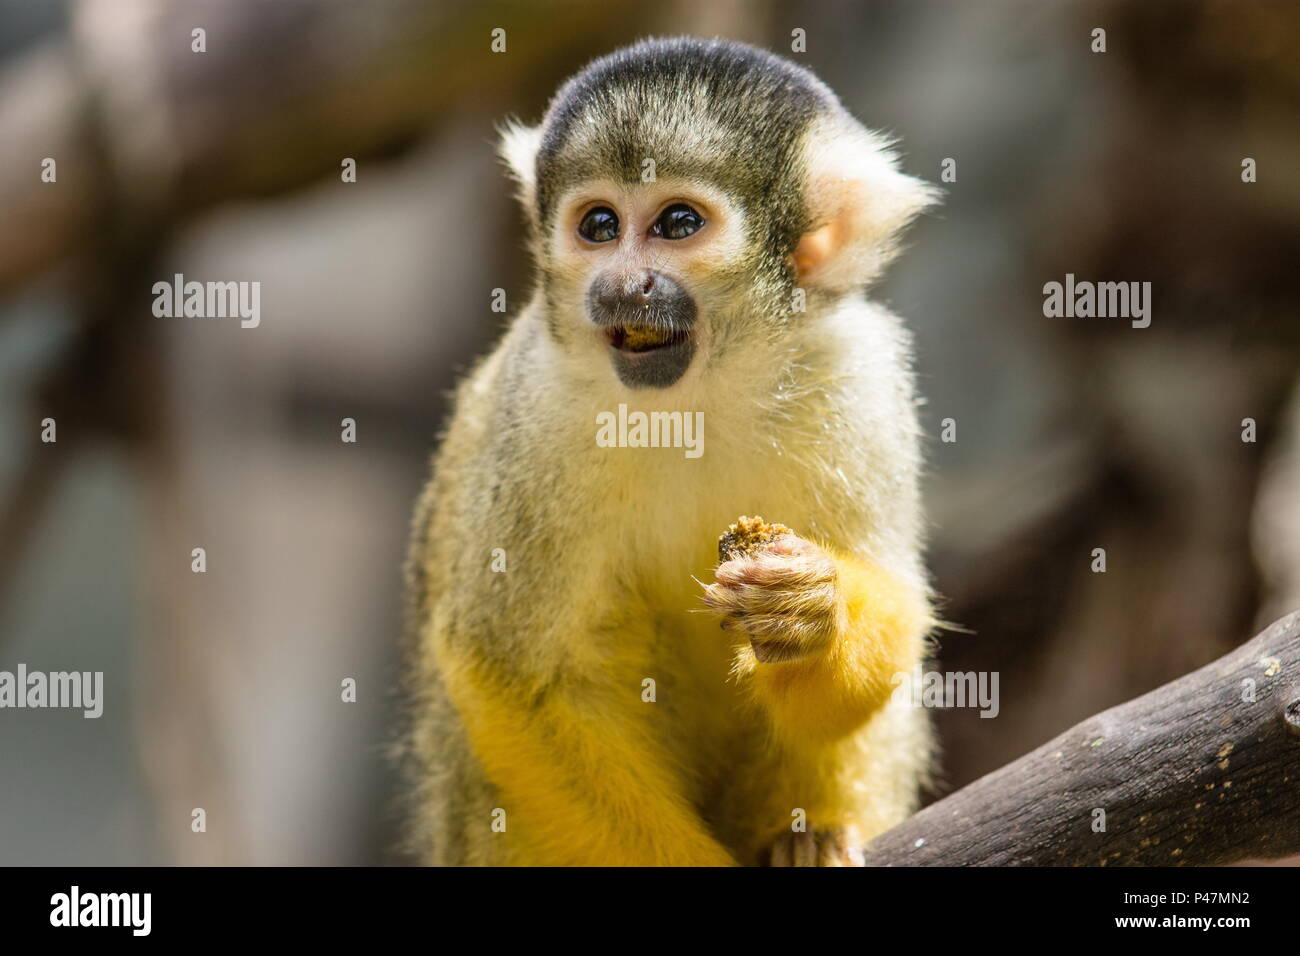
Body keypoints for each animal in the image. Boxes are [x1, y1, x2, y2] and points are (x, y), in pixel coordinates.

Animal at [400, 35, 941, 868]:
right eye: (597, 226)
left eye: (678, 222)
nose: (624, 285)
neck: (695, 393)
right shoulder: (539, 405)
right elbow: (519, 676)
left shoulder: (856, 375)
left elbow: (897, 615)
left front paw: (810, 612)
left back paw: (806, 836)